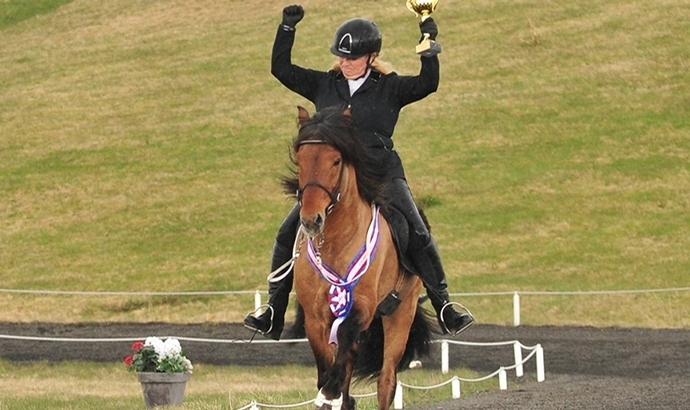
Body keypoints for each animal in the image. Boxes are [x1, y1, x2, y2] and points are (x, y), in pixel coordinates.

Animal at [282, 106, 428, 410]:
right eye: (300, 159)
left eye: (336, 160)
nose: (311, 220)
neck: (336, 242)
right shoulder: (315, 319)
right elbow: (327, 366)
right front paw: (331, 391)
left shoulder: (361, 307)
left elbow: (344, 352)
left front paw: (331, 390)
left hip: (401, 313)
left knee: (386, 381)